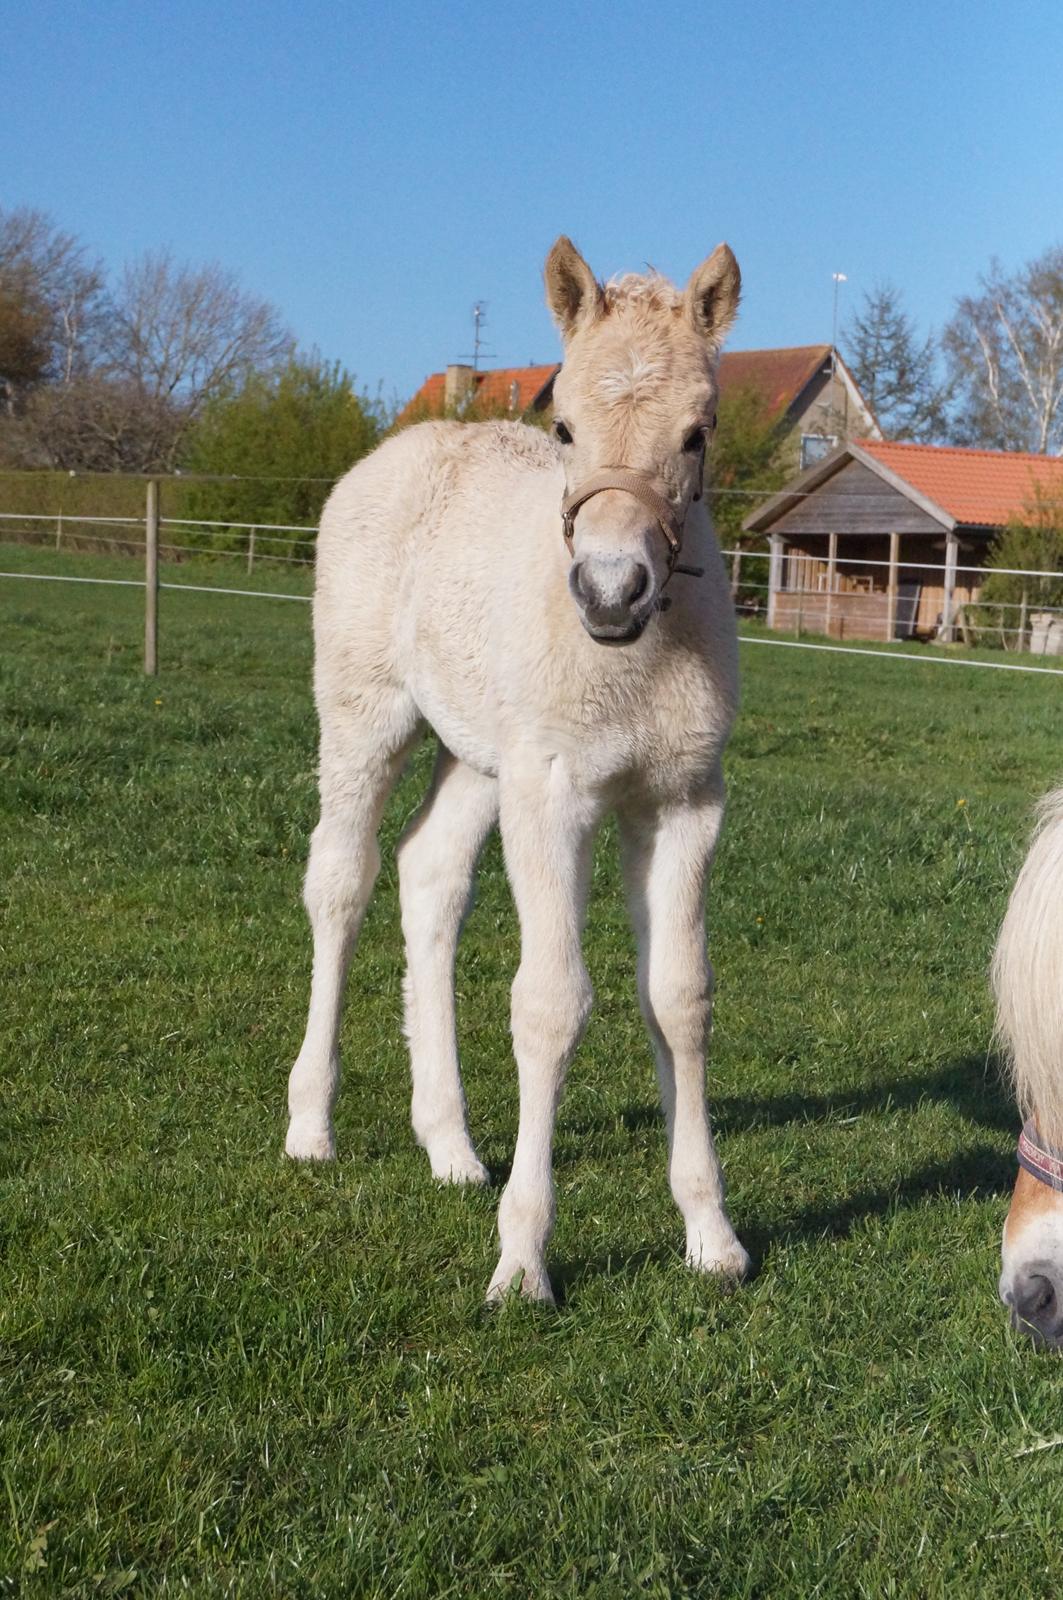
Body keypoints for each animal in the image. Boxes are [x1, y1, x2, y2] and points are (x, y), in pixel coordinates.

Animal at [281, 236, 746, 1305]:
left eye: (697, 433)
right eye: (564, 424)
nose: (611, 592)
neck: (637, 659)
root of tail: (399, 450)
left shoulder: (683, 802)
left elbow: (680, 998)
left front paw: (710, 1234)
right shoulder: (555, 793)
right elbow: (548, 1003)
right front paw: (524, 1259)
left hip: (479, 755)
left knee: (428, 874)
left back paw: (449, 1145)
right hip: (365, 714)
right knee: (341, 879)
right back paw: (311, 1123)